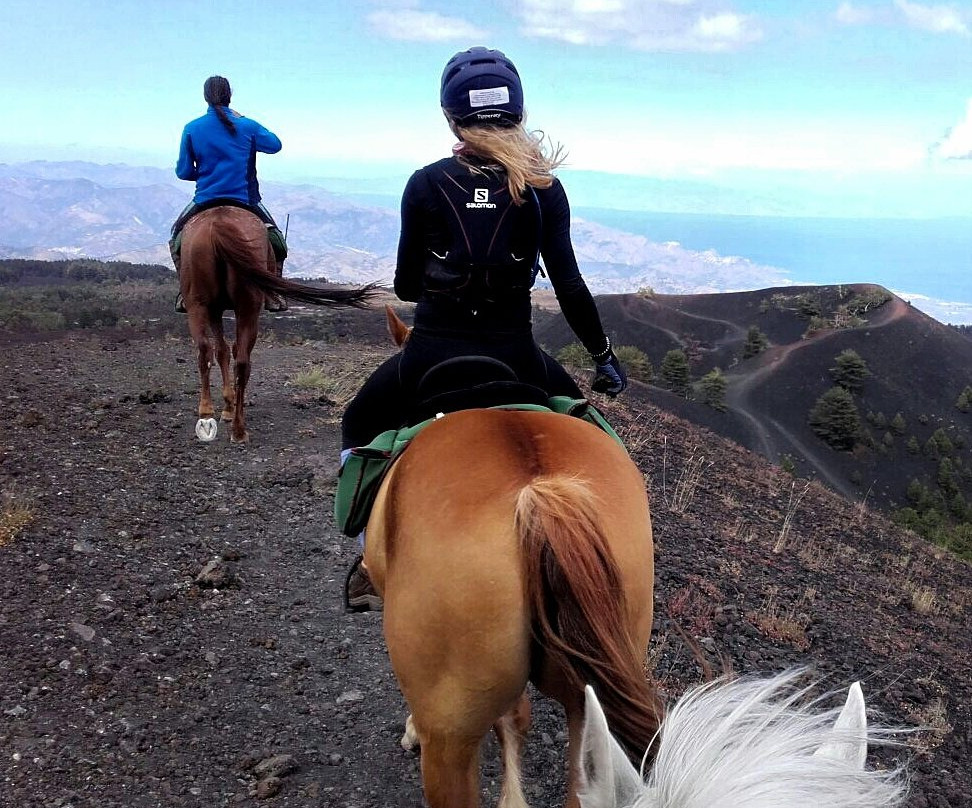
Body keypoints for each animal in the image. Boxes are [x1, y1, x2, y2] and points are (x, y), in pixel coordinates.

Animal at [177, 204, 374, 442]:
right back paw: (228, 424)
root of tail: (218, 222)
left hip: (214, 306)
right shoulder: (216, 310)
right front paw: (227, 408)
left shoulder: (216, 310)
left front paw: (228, 408)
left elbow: (223, 351)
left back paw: (218, 420)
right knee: (229, 357)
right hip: (221, 306)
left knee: (219, 354)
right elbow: (223, 351)